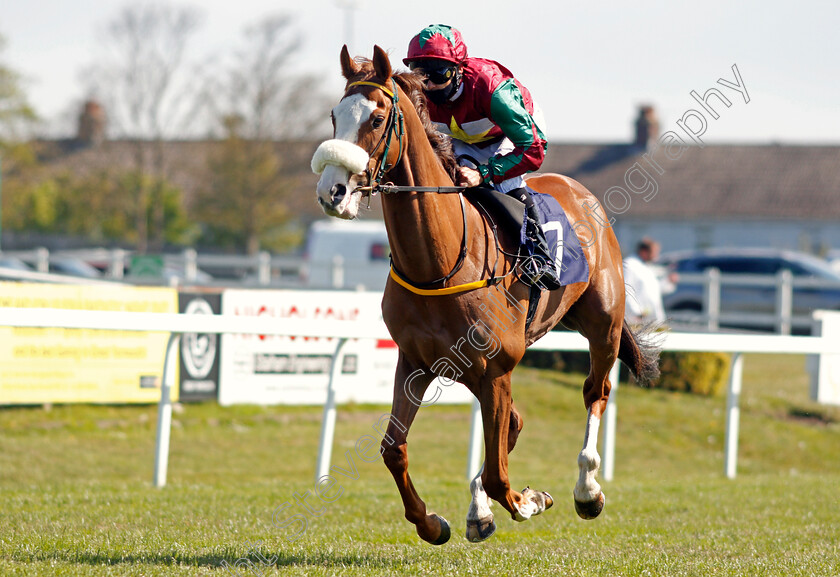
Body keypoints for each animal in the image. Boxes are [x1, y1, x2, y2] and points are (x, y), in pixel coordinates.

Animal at [312, 46, 660, 544]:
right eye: (334, 116)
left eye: (376, 119)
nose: (332, 191)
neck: (438, 265)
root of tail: (580, 192)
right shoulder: (416, 362)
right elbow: (393, 448)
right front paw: (432, 522)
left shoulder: (497, 368)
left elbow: (500, 474)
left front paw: (529, 500)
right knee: (511, 425)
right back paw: (480, 511)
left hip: (601, 326)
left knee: (596, 392)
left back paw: (587, 489)